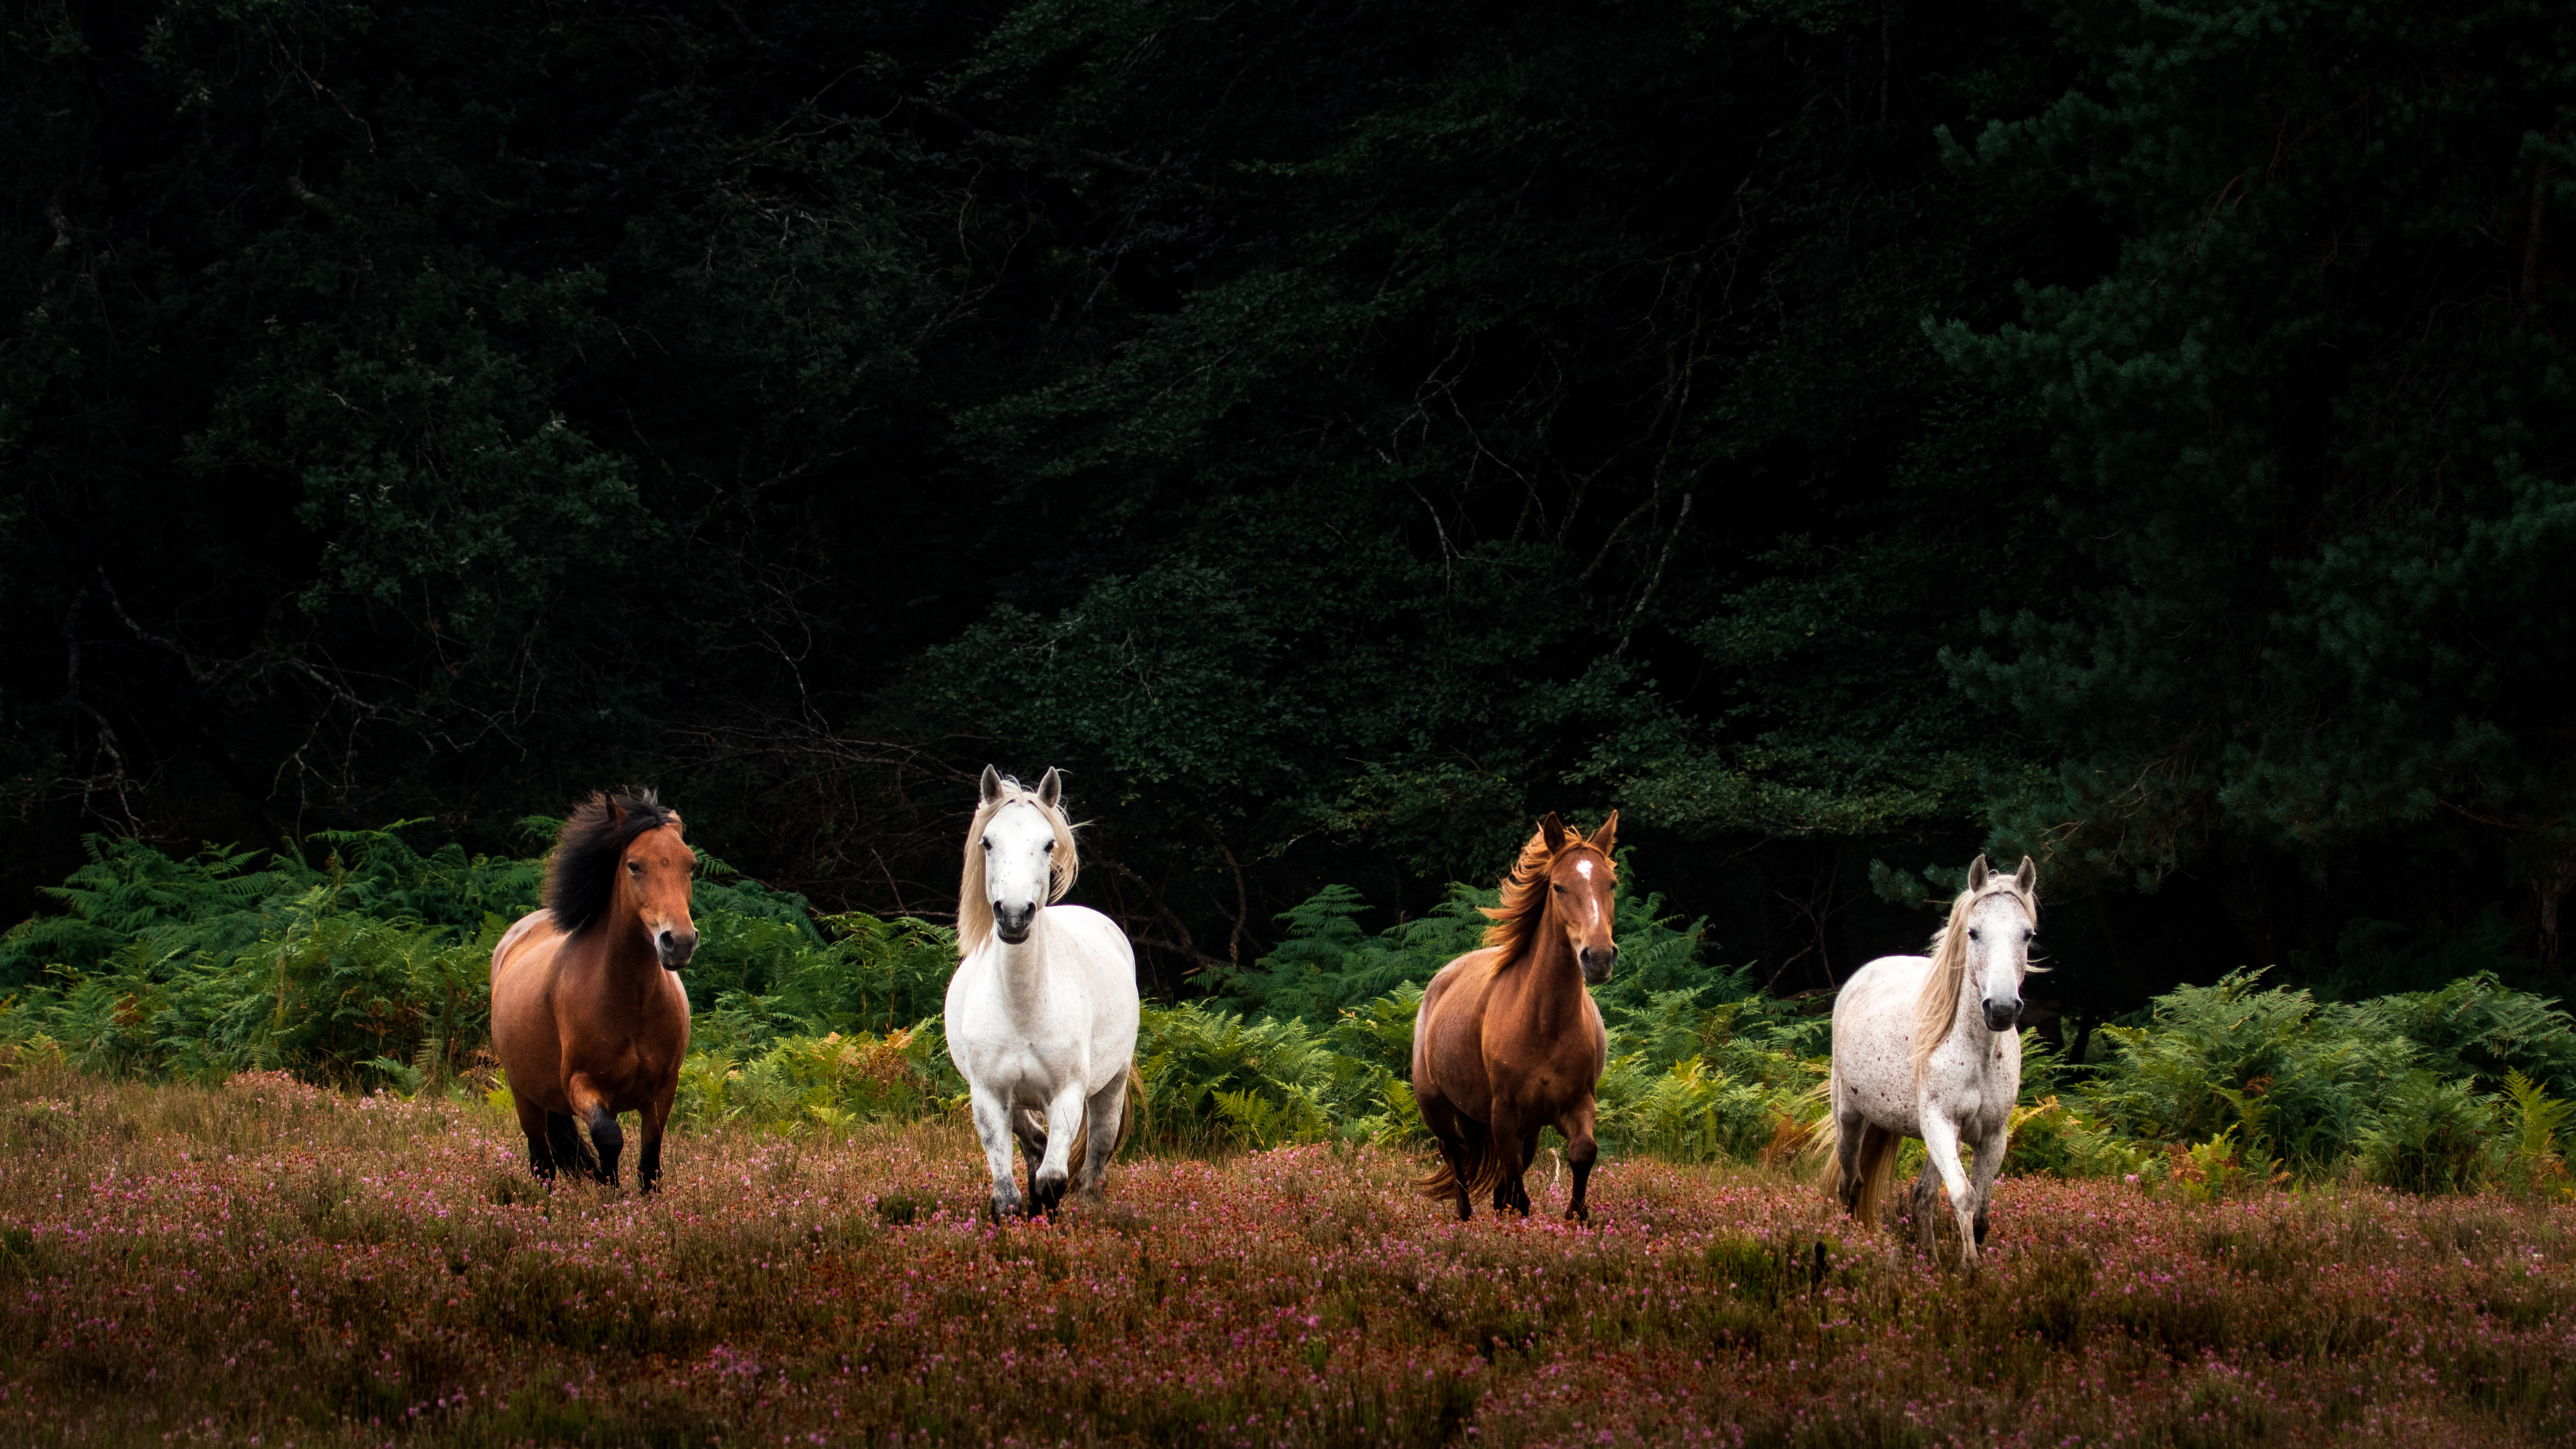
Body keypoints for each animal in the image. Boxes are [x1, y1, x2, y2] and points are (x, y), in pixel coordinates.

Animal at [487, 789, 695, 1186]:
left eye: (690, 865)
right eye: (634, 865)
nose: (678, 942)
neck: (632, 1002)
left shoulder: (663, 1091)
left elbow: (650, 1163)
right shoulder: (582, 1085)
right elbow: (609, 1139)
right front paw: (607, 1187)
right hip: (526, 1098)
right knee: (543, 1163)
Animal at [942, 763, 1144, 1212]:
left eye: (1049, 844)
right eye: (988, 842)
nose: (1015, 915)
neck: (1023, 1005)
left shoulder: (1066, 1096)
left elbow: (1054, 1180)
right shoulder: (988, 1097)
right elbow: (1006, 1195)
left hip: (1112, 1083)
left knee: (1097, 1153)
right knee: (1034, 1143)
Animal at [1422, 804, 1618, 1212]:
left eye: (1612, 884)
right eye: (1558, 887)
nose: (1599, 957)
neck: (1545, 1022)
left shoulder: (1577, 1105)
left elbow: (1582, 1153)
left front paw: (1577, 1216)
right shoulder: (1504, 1114)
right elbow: (1515, 1188)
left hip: (1528, 1128)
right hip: (1437, 1108)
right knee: (1456, 1156)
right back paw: (1465, 1217)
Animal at [1823, 851, 2040, 1258]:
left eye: (2027, 934)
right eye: (1973, 932)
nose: (2002, 1009)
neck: (1978, 1053)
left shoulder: (1992, 1137)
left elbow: (1979, 1212)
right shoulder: (1940, 1122)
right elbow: (1964, 1197)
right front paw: (1969, 1266)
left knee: (1920, 1197)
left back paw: (1930, 1260)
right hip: (1851, 1118)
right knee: (1851, 1183)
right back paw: (1850, 1240)